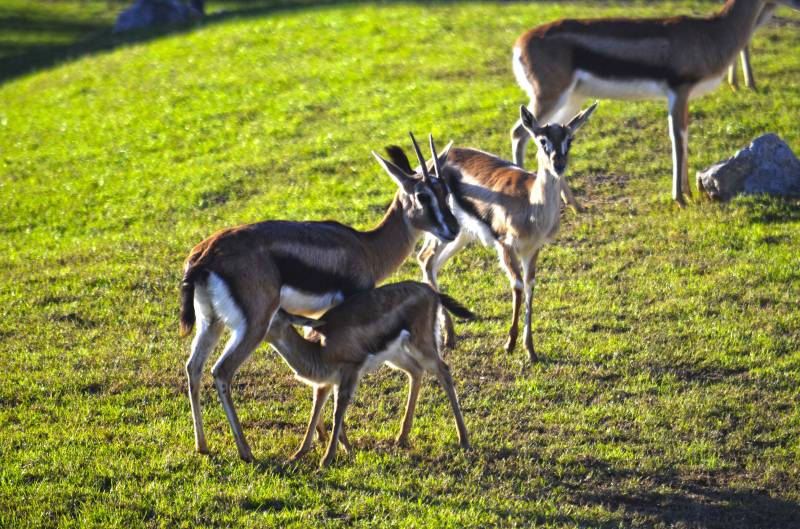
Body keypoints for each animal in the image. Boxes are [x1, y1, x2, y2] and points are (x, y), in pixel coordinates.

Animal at [180, 134, 456, 460]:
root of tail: (204, 256)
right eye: (423, 196)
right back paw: (246, 451)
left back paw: (202, 445)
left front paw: (323, 438)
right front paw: (342, 445)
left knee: (193, 367)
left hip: (211, 322)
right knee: (221, 371)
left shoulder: (317, 317)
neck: (367, 247)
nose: (453, 229)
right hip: (254, 326)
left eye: (446, 192)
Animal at [268, 280, 476, 466]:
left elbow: (338, 411)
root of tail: (431, 291)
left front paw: (327, 459)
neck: (319, 350)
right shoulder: (325, 383)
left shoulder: (351, 371)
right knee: (416, 371)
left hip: (421, 344)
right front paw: (296, 456)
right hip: (396, 354)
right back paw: (401, 438)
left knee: (443, 369)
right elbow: (315, 411)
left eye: (272, 315)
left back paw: (464, 441)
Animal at [418, 103, 592, 360]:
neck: (531, 204)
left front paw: (531, 350)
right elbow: (517, 286)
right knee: (426, 259)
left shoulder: (532, 249)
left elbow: (530, 286)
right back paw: (448, 336)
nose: (558, 165)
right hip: (442, 232)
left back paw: (449, 336)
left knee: (430, 263)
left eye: (569, 139)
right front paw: (509, 344)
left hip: (460, 235)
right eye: (542, 140)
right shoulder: (505, 245)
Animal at [512, 0, 800, 206]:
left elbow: (685, 137)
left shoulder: (685, 98)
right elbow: (677, 140)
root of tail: (519, 43)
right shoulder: (678, 92)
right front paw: (680, 199)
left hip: (572, 102)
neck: (711, 34)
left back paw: (574, 204)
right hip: (549, 97)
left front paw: (689, 193)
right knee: (520, 133)